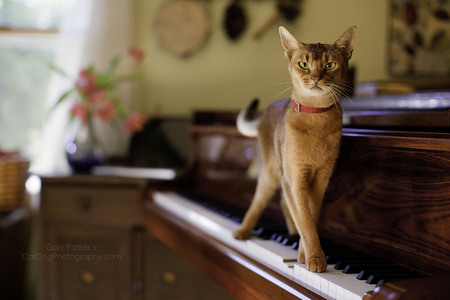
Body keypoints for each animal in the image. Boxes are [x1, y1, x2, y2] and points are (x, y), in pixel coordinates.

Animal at [232, 25, 356, 274]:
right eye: (304, 64)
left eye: (330, 65)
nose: (316, 78)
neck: (316, 117)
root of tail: (268, 108)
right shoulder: (295, 178)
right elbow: (305, 220)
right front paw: (314, 258)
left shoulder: (320, 181)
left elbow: (310, 216)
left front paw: (303, 254)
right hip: (271, 172)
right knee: (260, 200)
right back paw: (242, 231)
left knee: (283, 202)